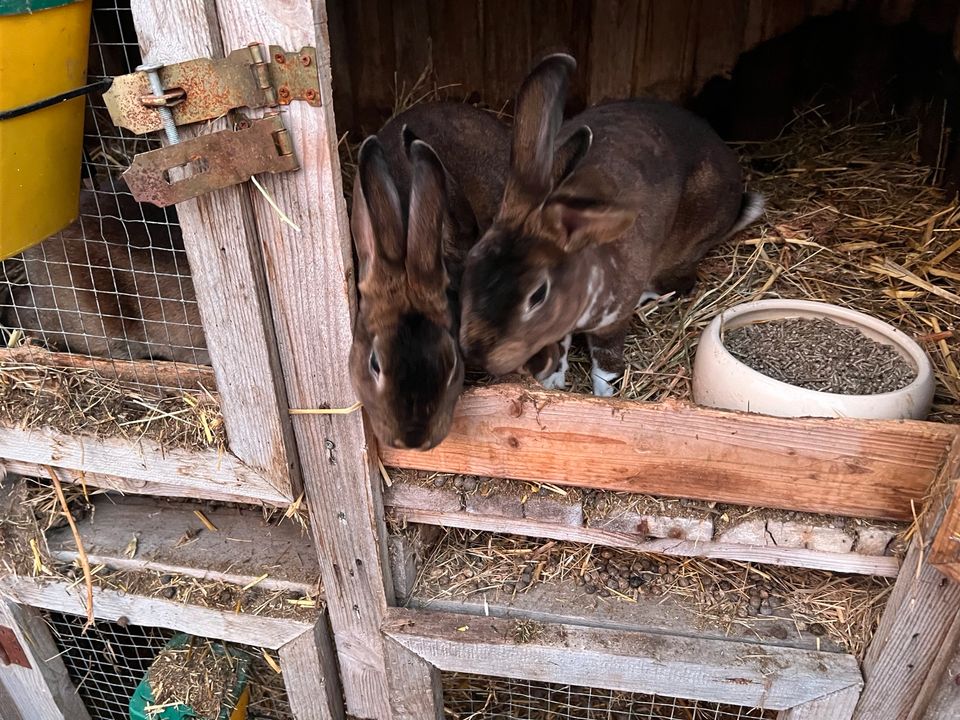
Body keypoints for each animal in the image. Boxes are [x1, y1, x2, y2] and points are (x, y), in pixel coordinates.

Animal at [460, 53, 764, 396]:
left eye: (537, 295)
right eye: (471, 266)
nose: (477, 353)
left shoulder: (612, 323)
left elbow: (606, 364)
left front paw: (603, 395)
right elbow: (560, 352)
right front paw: (553, 384)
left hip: (684, 248)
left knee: (681, 284)